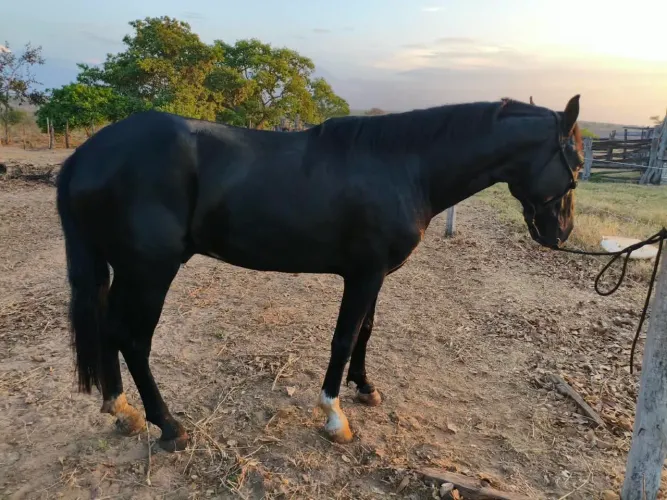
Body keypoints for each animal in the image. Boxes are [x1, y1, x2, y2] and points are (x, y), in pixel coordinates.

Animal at [56, 95, 583, 451]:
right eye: (577, 163)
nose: (561, 234)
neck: (404, 166)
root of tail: (85, 154)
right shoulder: (363, 274)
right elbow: (345, 338)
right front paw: (335, 417)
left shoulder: (376, 274)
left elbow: (367, 331)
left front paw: (365, 389)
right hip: (150, 272)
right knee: (132, 338)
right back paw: (168, 426)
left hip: (124, 270)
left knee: (107, 329)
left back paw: (122, 411)